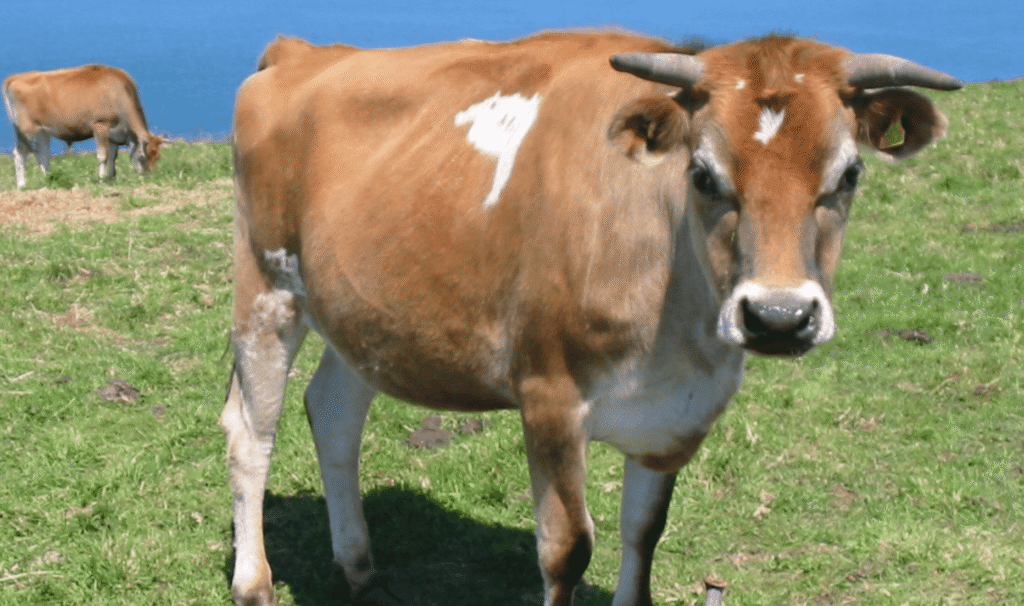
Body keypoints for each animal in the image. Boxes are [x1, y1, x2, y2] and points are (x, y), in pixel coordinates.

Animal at [3, 64, 164, 188]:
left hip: (42, 131)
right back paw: (22, 184)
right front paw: (101, 179)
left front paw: (111, 177)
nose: (148, 175)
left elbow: (113, 156)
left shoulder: (114, 134)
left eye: (157, 156)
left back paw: (48, 178)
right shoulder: (100, 125)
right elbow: (103, 156)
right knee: (20, 154)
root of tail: (16, 77)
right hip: (26, 130)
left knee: (42, 154)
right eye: (143, 156)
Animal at [221, 32, 960, 606]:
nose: (779, 317)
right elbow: (567, 549)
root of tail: (304, 51)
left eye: (849, 173)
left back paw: (359, 568)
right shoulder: (549, 394)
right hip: (266, 286)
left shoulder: (678, 415)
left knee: (335, 413)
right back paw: (253, 582)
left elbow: (644, 534)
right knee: (251, 434)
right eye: (702, 174)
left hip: (361, 313)